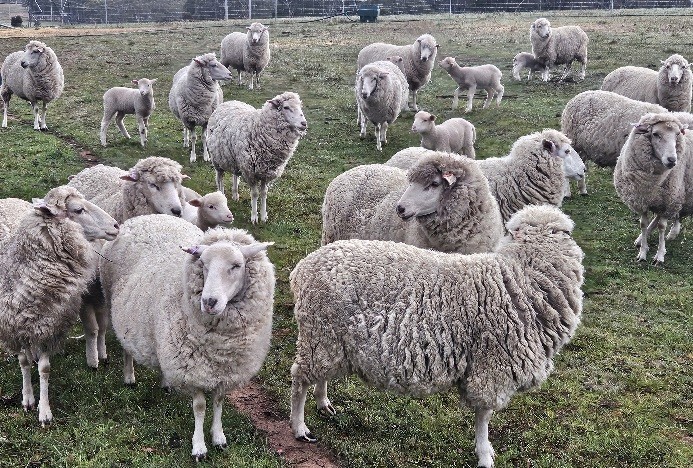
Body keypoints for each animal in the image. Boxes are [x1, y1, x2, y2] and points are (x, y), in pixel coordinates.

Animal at [0, 186, 119, 426]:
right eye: (78, 209)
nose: (116, 226)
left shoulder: (50, 325)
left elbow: (44, 369)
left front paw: (44, 410)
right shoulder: (13, 327)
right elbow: (23, 362)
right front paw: (27, 398)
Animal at [100, 215, 274, 460]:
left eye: (236, 266)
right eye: (204, 265)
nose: (209, 302)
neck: (220, 346)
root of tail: (142, 217)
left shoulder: (225, 370)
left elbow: (218, 402)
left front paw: (219, 437)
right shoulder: (192, 370)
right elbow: (200, 407)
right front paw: (199, 447)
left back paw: (165, 383)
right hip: (113, 305)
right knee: (126, 346)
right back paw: (129, 376)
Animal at [207, 91, 307, 224]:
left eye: (300, 107)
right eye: (286, 107)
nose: (304, 124)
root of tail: (229, 102)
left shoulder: (266, 173)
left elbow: (264, 193)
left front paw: (263, 216)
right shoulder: (251, 172)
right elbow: (254, 194)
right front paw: (254, 217)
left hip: (235, 160)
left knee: (235, 175)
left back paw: (235, 194)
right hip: (217, 159)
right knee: (219, 178)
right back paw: (221, 194)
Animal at [289, 204, 584, 468]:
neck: (517, 276)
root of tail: (302, 268)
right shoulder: (491, 366)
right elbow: (484, 416)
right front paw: (484, 455)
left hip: (329, 338)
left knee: (321, 373)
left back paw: (323, 402)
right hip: (318, 332)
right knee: (300, 379)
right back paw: (299, 426)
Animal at [613, 112, 689, 264]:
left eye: (677, 134)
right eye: (655, 134)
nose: (672, 160)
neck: (651, 183)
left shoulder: (670, 201)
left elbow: (662, 226)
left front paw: (659, 255)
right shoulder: (641, 200)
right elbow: (643, 223)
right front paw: (643, 252)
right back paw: (640, 240)